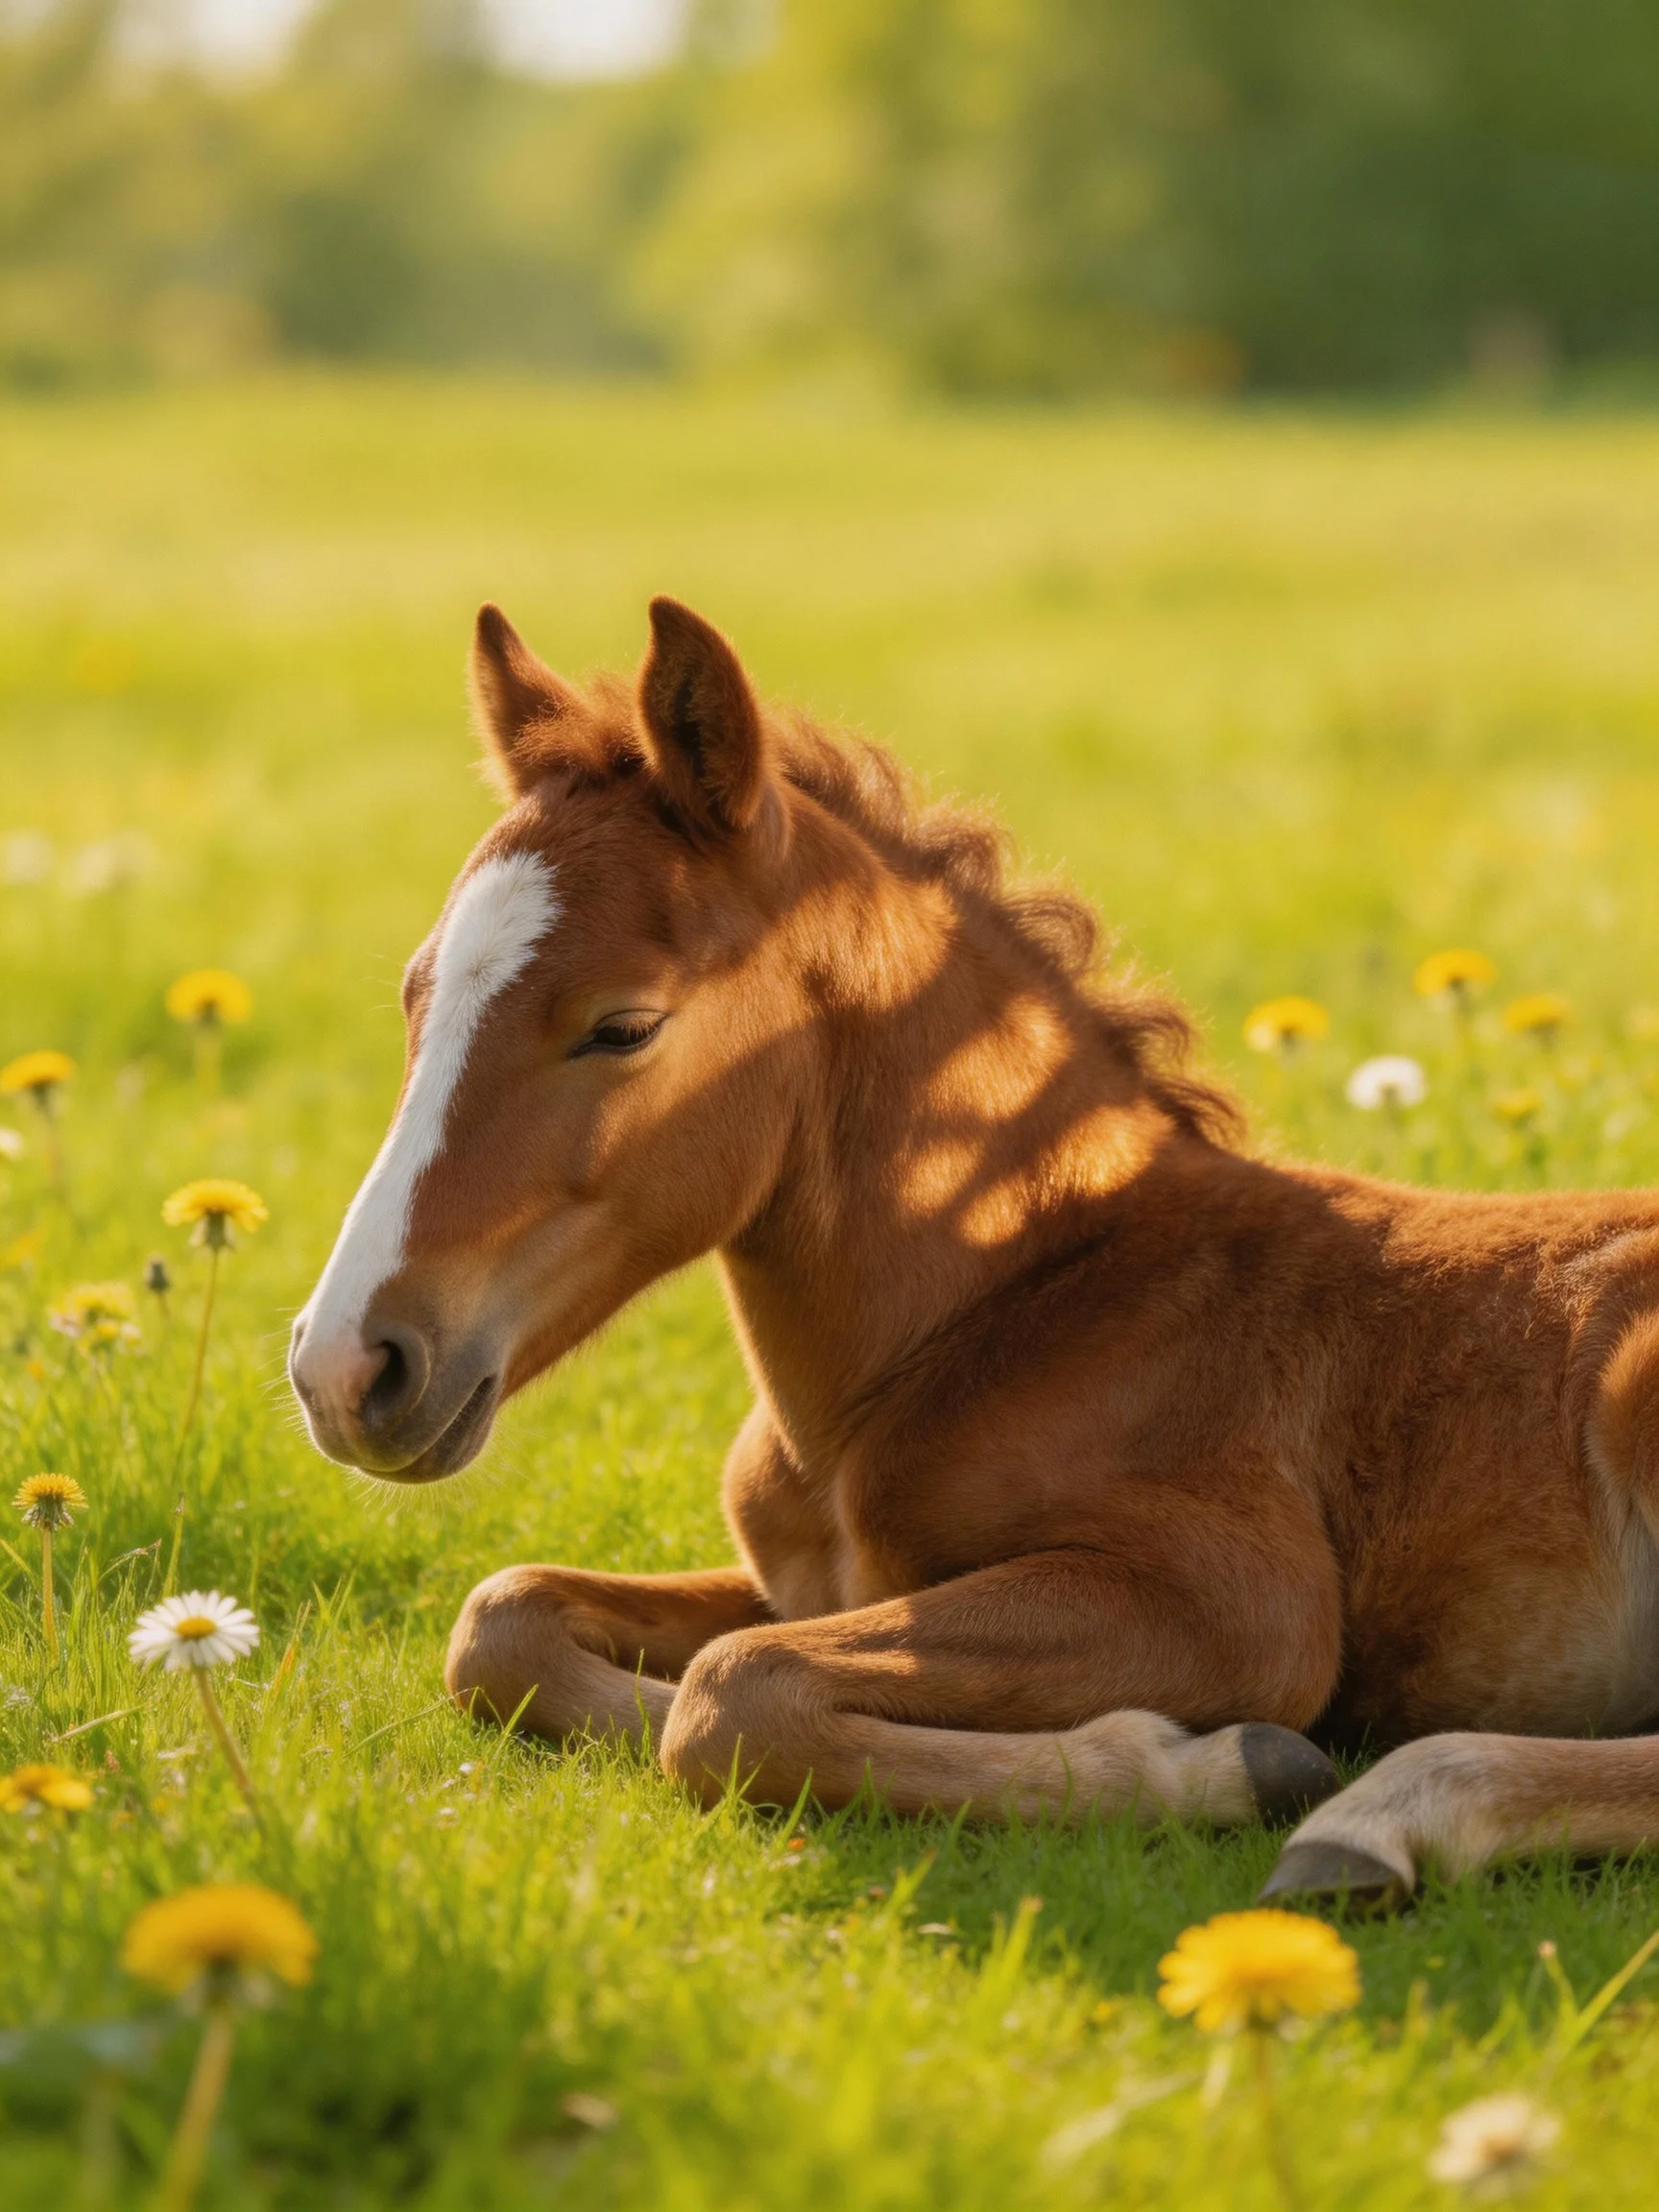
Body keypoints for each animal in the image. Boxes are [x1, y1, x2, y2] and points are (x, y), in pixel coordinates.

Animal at [289, 595, 1659, 1906]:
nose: (344, 1369)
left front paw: (1224, 1763)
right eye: (416, 996)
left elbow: (735, 1691)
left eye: (623, 1026)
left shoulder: (1238, 1603)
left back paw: (1376, 1822)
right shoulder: (817, 1584)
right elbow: (503, 1620)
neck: (1015, 1306)